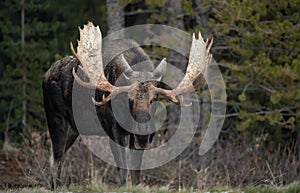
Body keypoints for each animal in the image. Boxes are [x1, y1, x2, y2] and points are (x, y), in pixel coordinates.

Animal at [42, 21, 213, 189]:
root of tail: (45, 75)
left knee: (55, 157)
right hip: (56, 119)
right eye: (130, 99)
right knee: (56, 157)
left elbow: (136, 168)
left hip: (73, 129)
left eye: (154, 99)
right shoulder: (113, 129)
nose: (142, 130)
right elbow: (122, 167)